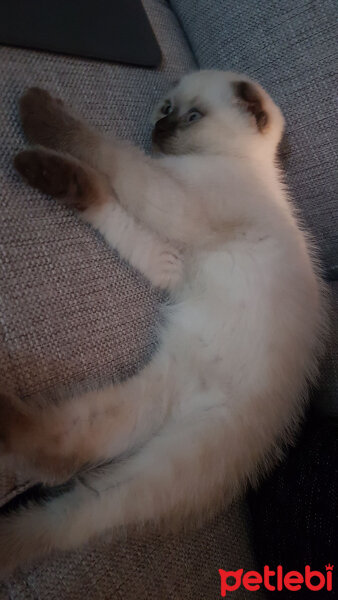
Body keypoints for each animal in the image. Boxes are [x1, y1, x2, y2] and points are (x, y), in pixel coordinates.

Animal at [0, 68, 328, 576]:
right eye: (166, 109)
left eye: (192, 117)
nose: (157, 129)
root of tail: (184, 403)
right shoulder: (172, 261)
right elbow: (105, 191)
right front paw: (52, 170)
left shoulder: (176, 201)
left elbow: (107, 150)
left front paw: (36, 112)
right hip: (141, 404)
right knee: (68, 457)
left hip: (159, 470)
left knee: (73, 507)